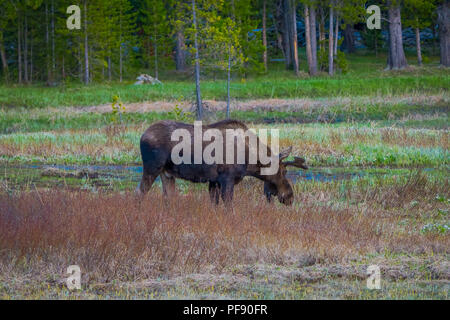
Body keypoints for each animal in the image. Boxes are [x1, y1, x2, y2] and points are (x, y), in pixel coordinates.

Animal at [135, 119, 308, 205]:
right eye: (284, 171)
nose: (290, 197)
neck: (250, 161)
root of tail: (142, 136)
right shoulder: (226, 179)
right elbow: (229, 207)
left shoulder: (214, 181)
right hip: (152, 168)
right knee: (139, 193)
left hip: (167, 173)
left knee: (168, 197)